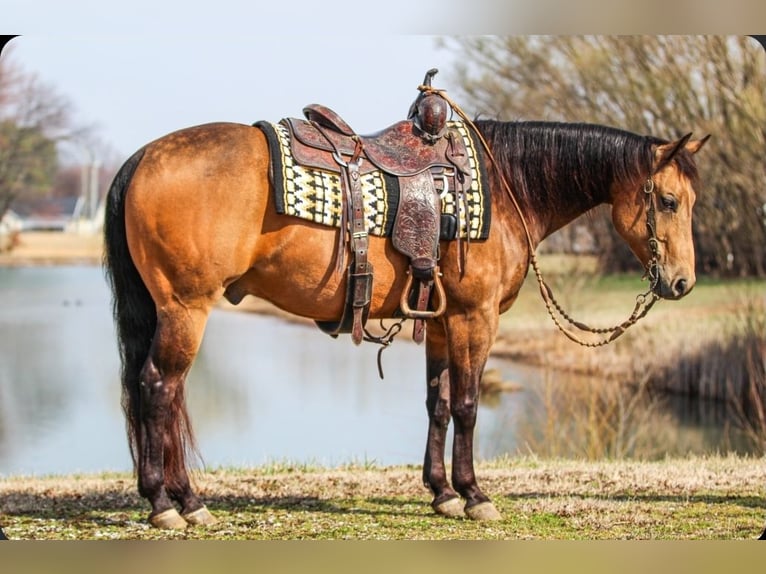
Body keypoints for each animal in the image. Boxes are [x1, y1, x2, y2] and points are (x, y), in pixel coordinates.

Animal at [103, 109, 709, 530]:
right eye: (669, 201)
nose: (683, 283)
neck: (504, 187)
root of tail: (143, 158)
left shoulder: (440, 324)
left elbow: (437, 405)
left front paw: (441, 492)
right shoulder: (473, 319)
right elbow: (467, 406)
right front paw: (474, 494)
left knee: (166, 393)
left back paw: (180, 499)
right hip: (186, 309)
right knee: (158, 389)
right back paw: (170, 503)